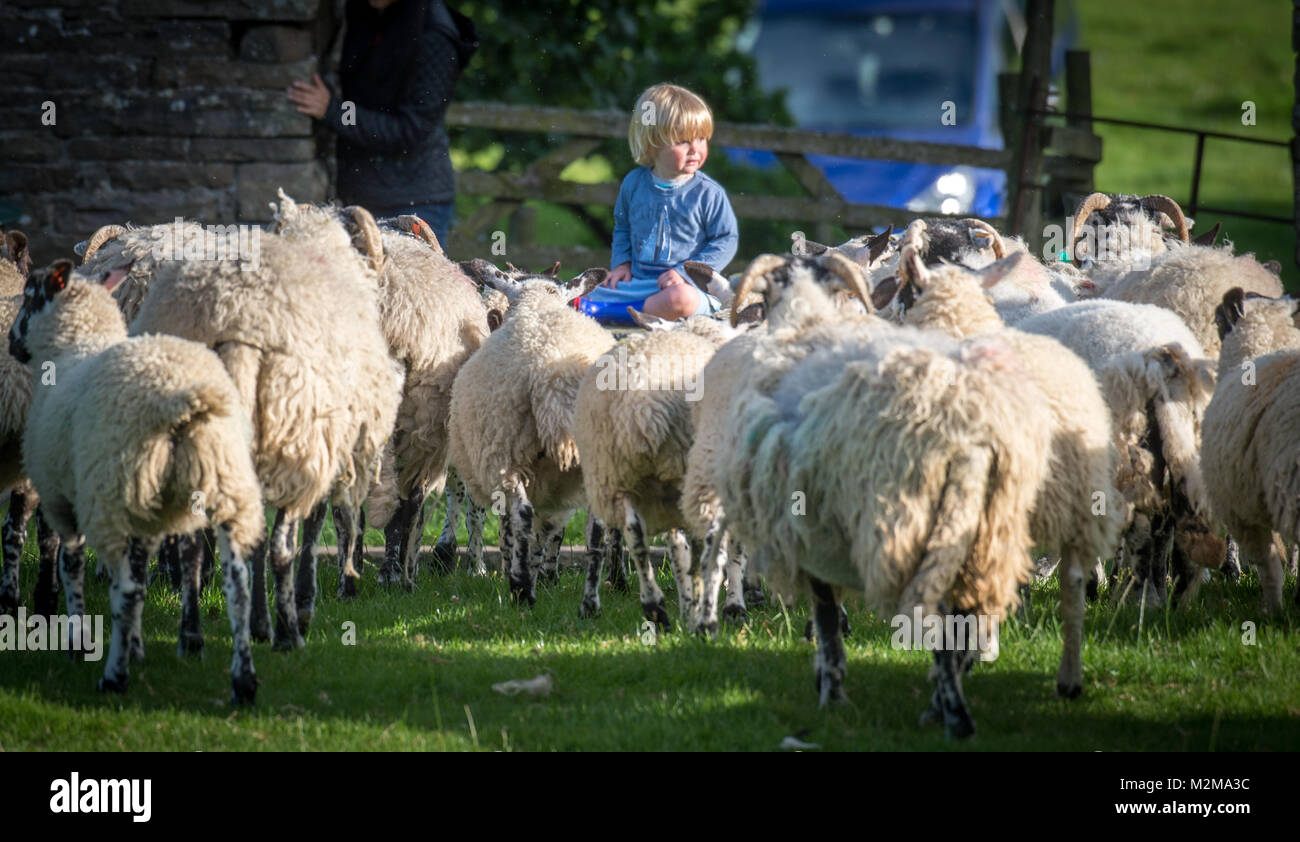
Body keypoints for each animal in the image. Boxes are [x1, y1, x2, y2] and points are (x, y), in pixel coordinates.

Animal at [12, 261, 266, 701]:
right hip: (224, 483)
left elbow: (72, 567)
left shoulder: (65, 503)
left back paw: (114, 678)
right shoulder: (146, 517)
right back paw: (243, 682)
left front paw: (79, 644)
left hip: (113, 493)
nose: (12, 342)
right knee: (238, 586)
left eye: (29, 296)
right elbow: (142, 578)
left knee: (125, 590)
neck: (75, 345)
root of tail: (181, 398)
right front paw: (135, 645)